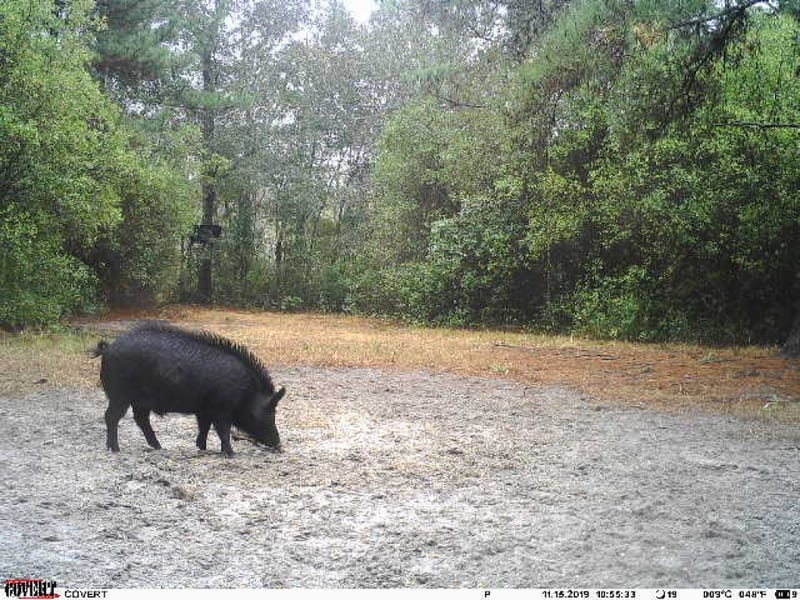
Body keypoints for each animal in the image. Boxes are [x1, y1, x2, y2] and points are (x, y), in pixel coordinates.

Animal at [91, 321, 285, 457]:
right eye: (270, 411)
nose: (279, 444)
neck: (246, 392)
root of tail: (108, 348)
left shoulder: (204, 409)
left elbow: (204, 427)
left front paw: (202, 448)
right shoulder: (220, 408)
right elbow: (223, 430)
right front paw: (231, 454)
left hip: (140, 400)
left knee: (141, 420)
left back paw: (159, 447)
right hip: (120, 394)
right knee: (111, 417)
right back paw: (115, 449)